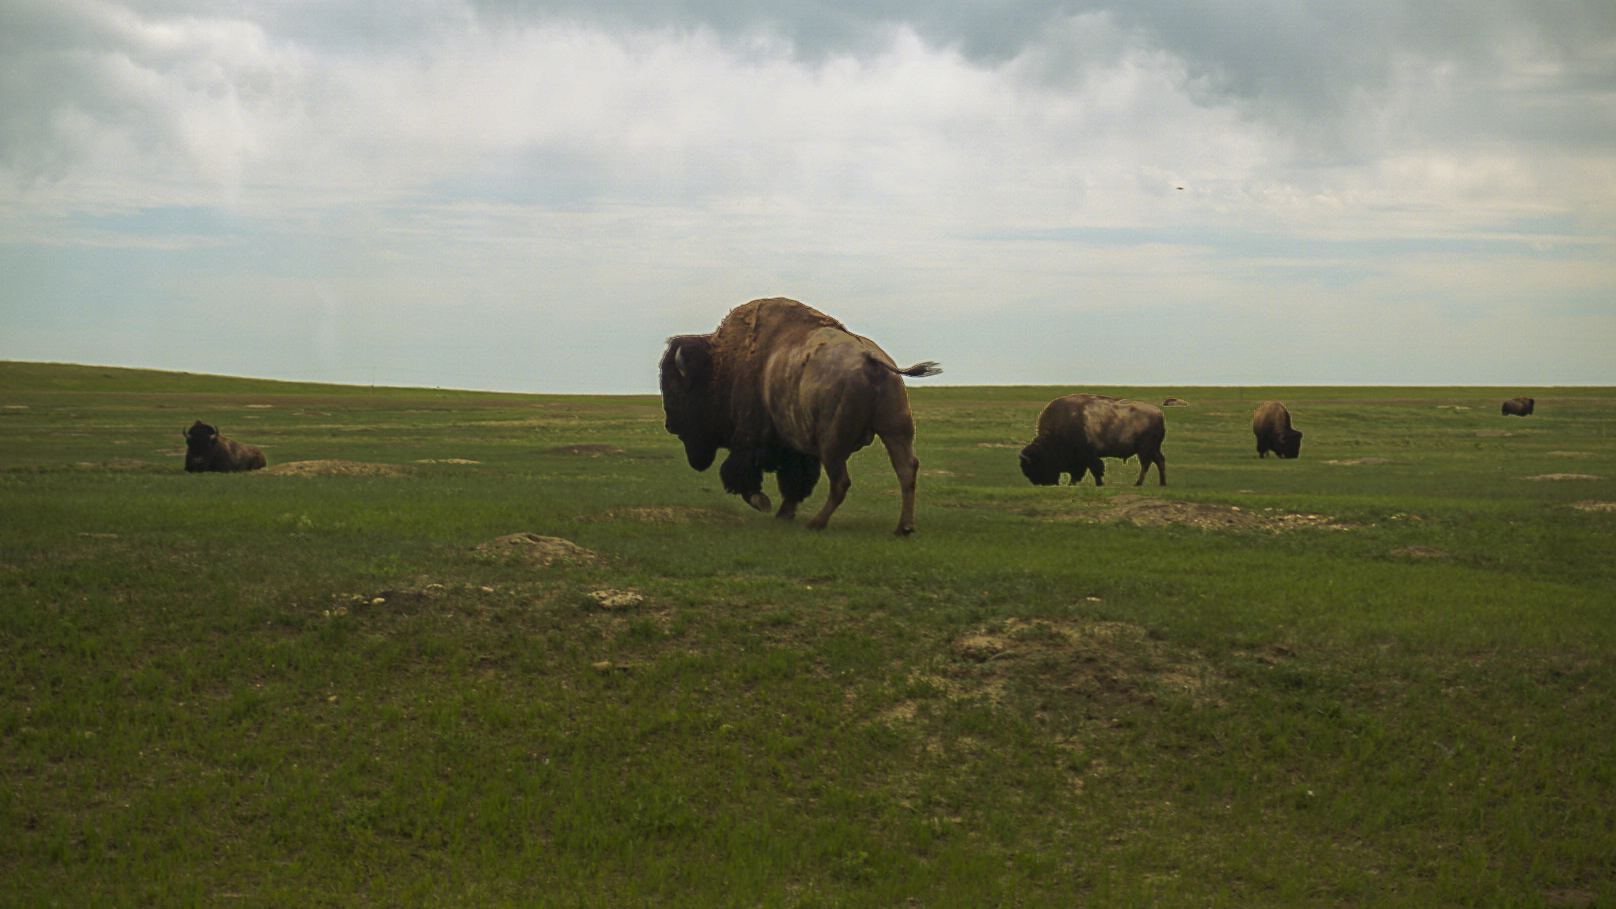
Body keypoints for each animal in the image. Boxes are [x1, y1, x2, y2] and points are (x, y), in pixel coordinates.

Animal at [659, 297, 940, 535]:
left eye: (676, 388)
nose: (670, 425)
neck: (723, 363)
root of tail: (870, 358)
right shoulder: (795, 450)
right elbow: (794, 480)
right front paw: (784, 512)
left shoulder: (751, 440)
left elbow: (744, 474)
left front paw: (764, 503)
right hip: (895, 429)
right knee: (906, 470)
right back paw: (903, 527)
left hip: (833, 445)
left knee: (841, 482)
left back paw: (816, 523)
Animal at [1019, 394, 1167, 487]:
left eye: (1034, 466)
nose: (1040, 483)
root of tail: (1159, 414)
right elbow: (1083, 471)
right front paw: (1074, 483)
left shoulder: (1087, 455)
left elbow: (1094, 469)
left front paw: (1098, 483)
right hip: (1152, 448)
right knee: (1159, 461)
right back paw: (1162, 483)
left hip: (1144, 449)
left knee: (1146, 464)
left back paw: (1138, 483)